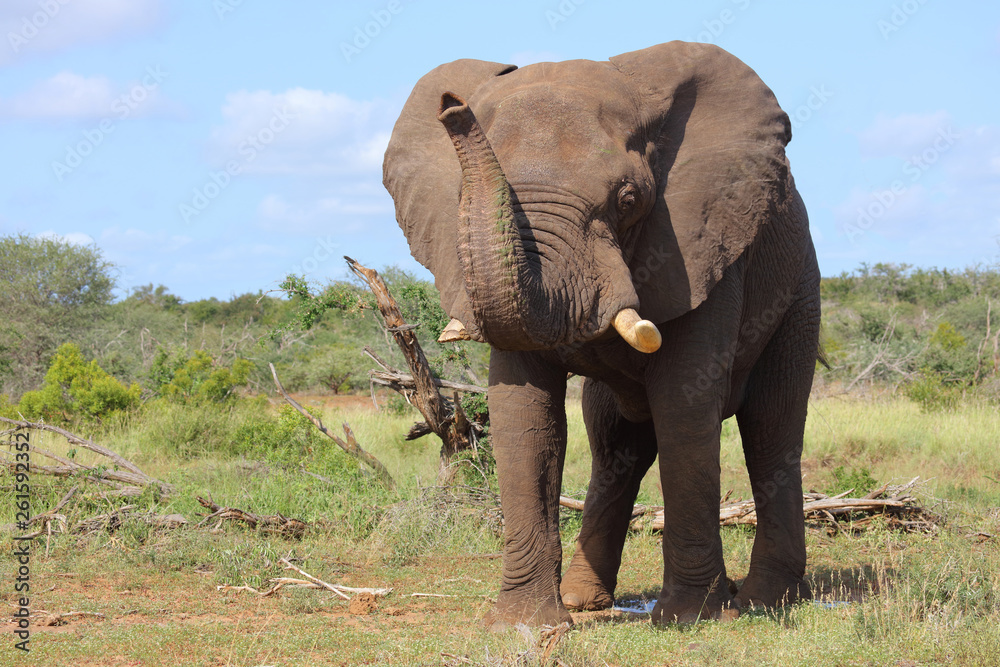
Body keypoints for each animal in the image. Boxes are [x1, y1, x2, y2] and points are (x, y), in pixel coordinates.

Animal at [382, 41, 819, 628]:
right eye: (458, 198)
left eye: (628, 199)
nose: (453, 106)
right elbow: (525, 419)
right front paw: (525, 624)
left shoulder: (705, 249)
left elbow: (685, 405)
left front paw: (687, 618)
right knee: (617, 445)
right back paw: (583, 602)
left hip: (799, 293)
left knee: (772, 430)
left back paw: (762, 601)